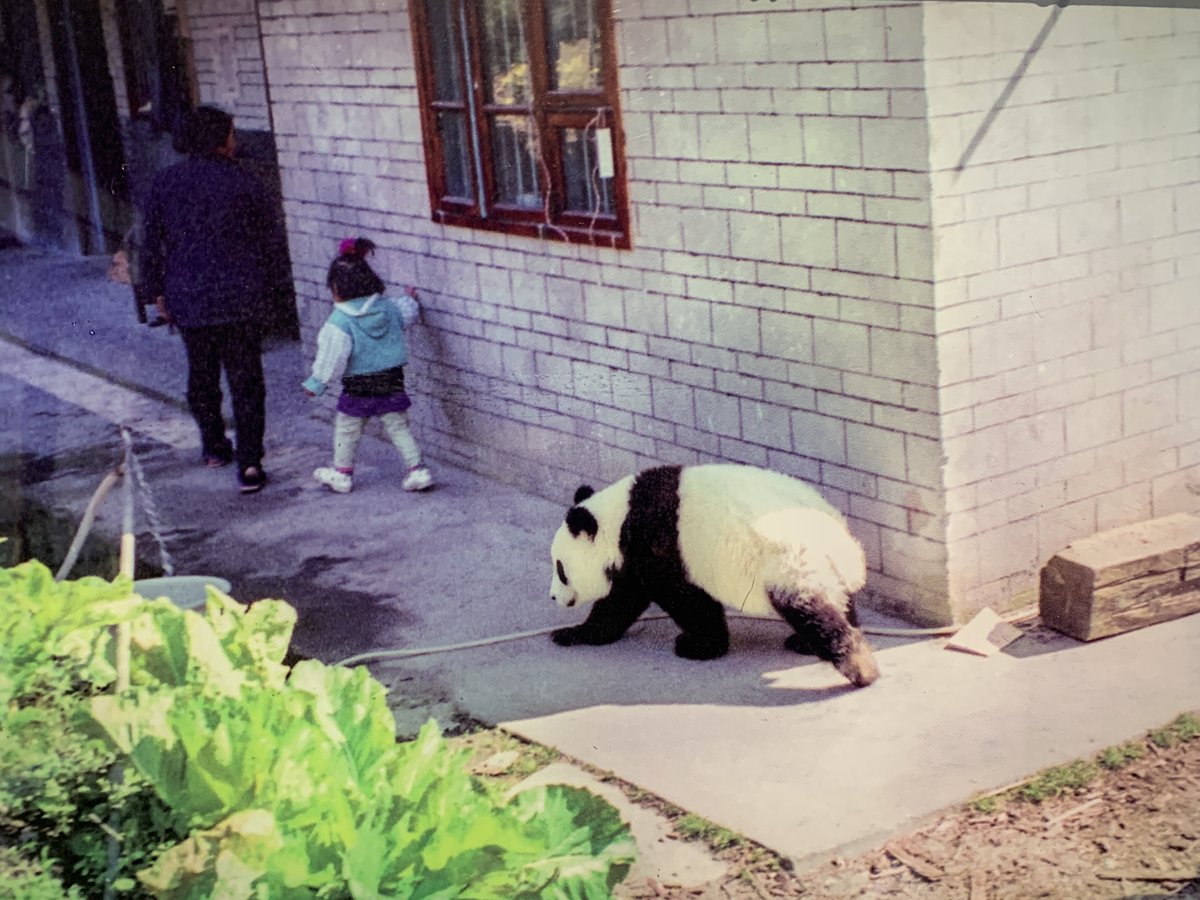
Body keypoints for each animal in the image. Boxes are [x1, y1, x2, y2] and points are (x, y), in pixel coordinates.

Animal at [549, 465, 878, 691]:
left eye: (561, 569)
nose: (553, 597)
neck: (619, 519)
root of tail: (843, 545)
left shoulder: (657, 547)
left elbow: (681, 601)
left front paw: (696, 646)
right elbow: (622, 601)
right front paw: (571, 633)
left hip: (789, 561)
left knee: (811, 610)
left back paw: (861, 668)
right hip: (821, 568)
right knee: (839, 602)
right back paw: (809, 642)